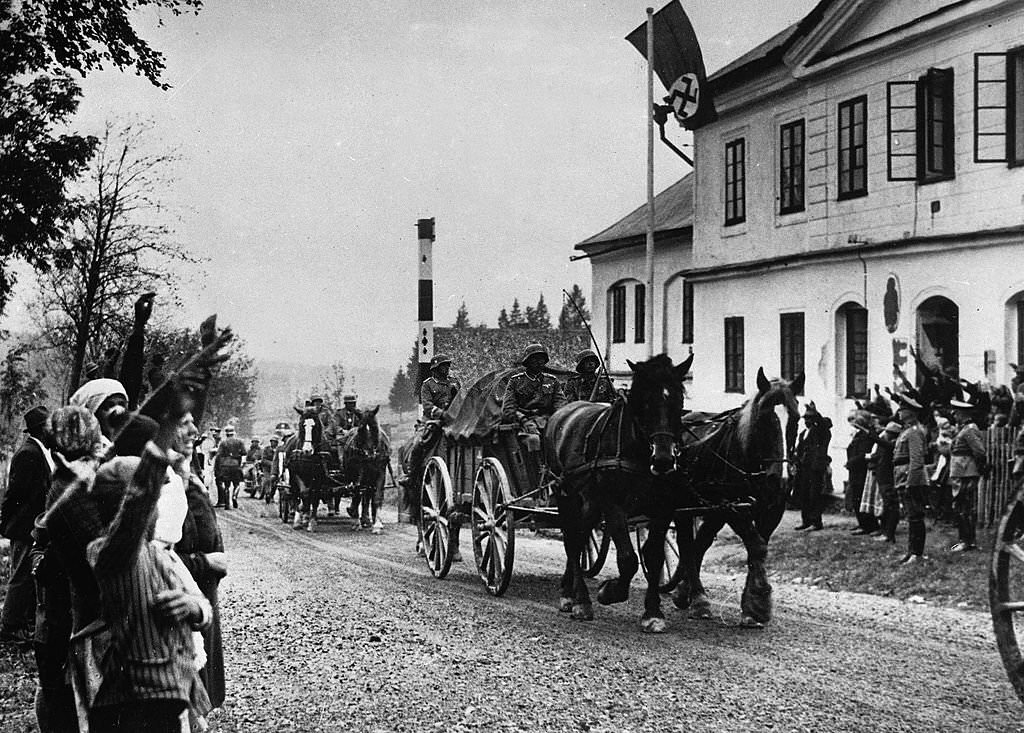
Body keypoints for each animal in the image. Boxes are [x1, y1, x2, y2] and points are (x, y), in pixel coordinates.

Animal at [540, 352, 692, 626]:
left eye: (678, 399)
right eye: (644, 402)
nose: (664, 459)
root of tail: (561, 413)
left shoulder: (664, 508)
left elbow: (653, 556)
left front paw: (653, 612)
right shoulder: (613, 505)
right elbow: (629, 559)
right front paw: (610, 591)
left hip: (589, 502)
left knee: (580, 538)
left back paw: (569, 590)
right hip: (566, 495)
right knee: (571, 539)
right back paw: (579, 600)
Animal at [647, 366, 806, 630]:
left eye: (795, 418)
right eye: (764, 419)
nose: (782, 478)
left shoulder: (771, 510)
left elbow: (758, 548)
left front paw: (751, 605)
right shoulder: (733, 508)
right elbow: (757, 546)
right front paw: (759, 603)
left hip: (709, 509)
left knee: (699, 543)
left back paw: (686, 592)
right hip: (685, 505)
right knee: (685, 544)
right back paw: (697, 598)